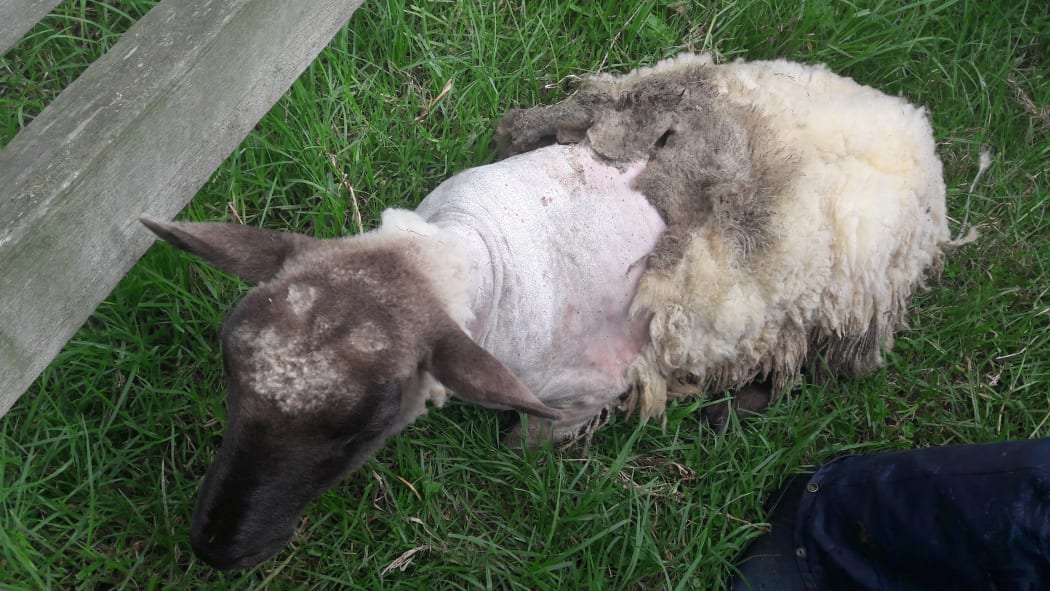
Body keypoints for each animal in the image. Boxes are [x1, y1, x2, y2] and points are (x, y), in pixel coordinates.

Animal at [141, 53, 953, 571]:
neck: (484, 255)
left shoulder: (579, 393)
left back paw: (735, 406)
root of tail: (908, 116)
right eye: (228, 376)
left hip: (837, 315)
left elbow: (523, 447)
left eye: (364, 429)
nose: (215, 547)